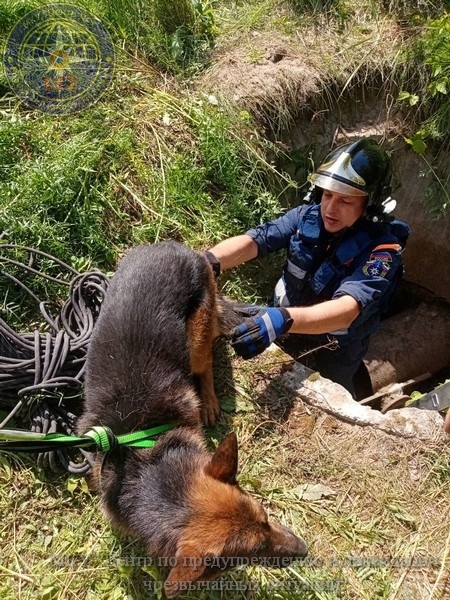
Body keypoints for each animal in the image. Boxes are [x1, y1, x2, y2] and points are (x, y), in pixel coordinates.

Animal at [78, 243, 310, 596]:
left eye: (266, 517)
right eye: (253, 552)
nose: (304, 549)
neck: (149, 466)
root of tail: (180, 247)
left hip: (196, 335)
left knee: (206, 363)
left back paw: (210, 402)